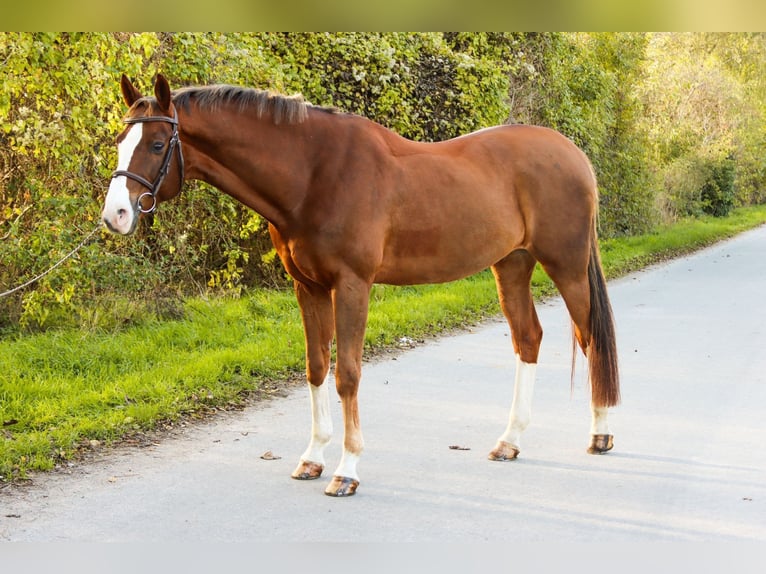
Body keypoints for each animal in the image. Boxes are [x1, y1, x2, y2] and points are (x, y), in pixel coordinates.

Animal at [102, 75, 620, 500]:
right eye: (120, 140)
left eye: (156, 143)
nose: (116, 215)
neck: (313, 173)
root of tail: (572, 153)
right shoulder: (308, 288)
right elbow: (316, 368)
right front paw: (312, 459)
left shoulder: (352, 286)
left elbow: (347, 374)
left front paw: (346, 470)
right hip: (511, 264)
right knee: (528, 338)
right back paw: (509, 442)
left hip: (567, 267)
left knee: (590, 338)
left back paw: (600, 434)